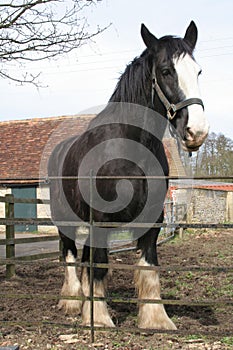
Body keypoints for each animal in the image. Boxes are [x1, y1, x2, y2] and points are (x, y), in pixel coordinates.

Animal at [49, 21, 209, 328]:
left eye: (198, 71)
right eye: (166, 71)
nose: (197, 131)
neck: (129, 148)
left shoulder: (153, 220)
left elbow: (148, 267)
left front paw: (156, 319)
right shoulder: (100, 220)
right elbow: (98, 266)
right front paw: (98, 318)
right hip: (65, 218)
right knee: (70, 255)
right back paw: (72, 301)